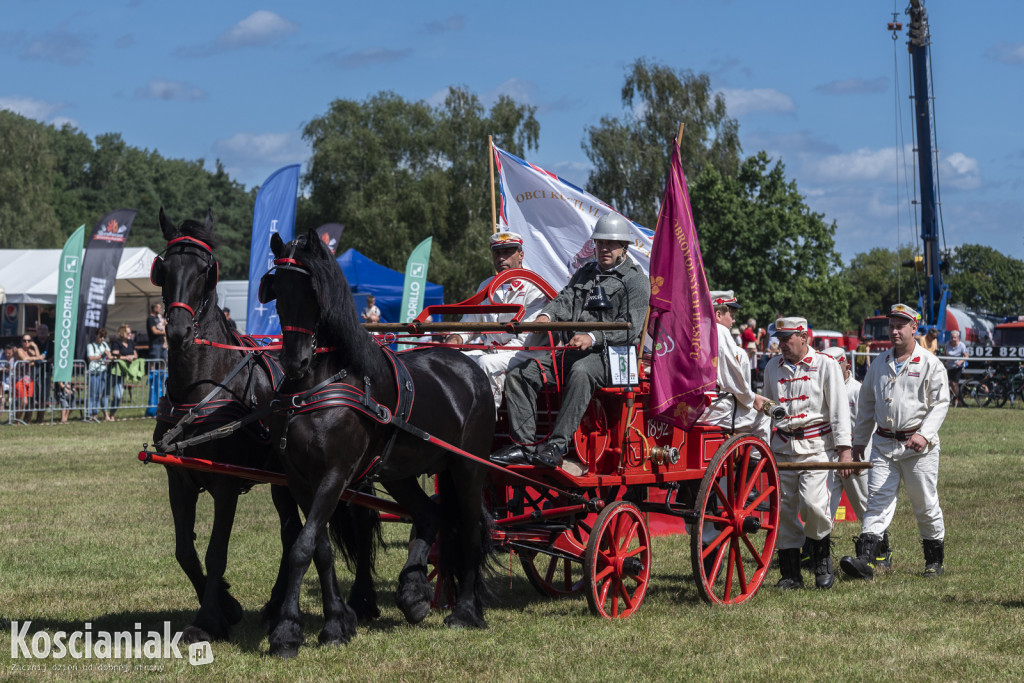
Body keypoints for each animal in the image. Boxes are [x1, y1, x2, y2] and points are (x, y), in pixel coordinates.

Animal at [155, 210, 385, 643]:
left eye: (205, 270)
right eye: (164, 267)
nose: (177, 331)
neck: (202, 385)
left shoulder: (226, 485)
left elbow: (215, 552)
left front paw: (208, 619)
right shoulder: (179, 479)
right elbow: (184, 551)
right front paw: (226, 607)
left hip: (350, 473)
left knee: (361, 522)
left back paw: (363, 600)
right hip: (284, 480)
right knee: (291, 531)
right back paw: (278, 605)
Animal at [262, 232, 497, 659]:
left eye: (313, 291)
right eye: (278, 290)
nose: (294, 361)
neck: (318, 387)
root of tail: (470, 365)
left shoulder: (335, 476)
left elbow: (301, 547)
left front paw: (287, 631)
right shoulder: (301, 479)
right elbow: (318, 548)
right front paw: (335, 625)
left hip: (468, 468)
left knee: (472, 530)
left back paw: (466, 611)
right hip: (399, 472)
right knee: (431, 516)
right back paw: (414, 593)